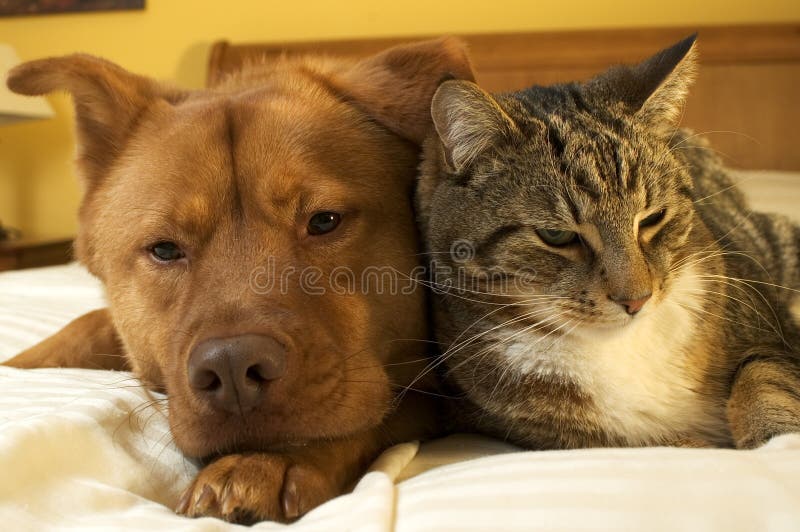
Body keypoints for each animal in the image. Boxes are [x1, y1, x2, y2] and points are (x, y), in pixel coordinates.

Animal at [3, 38, 472, 524]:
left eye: (324, 221)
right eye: (165, 249)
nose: (231, 368)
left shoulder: (436, 388)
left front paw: (265, 461)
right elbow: (86, 326)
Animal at [416, 34, 800, 448]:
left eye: (652, 218)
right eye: (556, 235)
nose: (637, 300)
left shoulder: (768, 325)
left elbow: (764, 375)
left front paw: (780, 442)